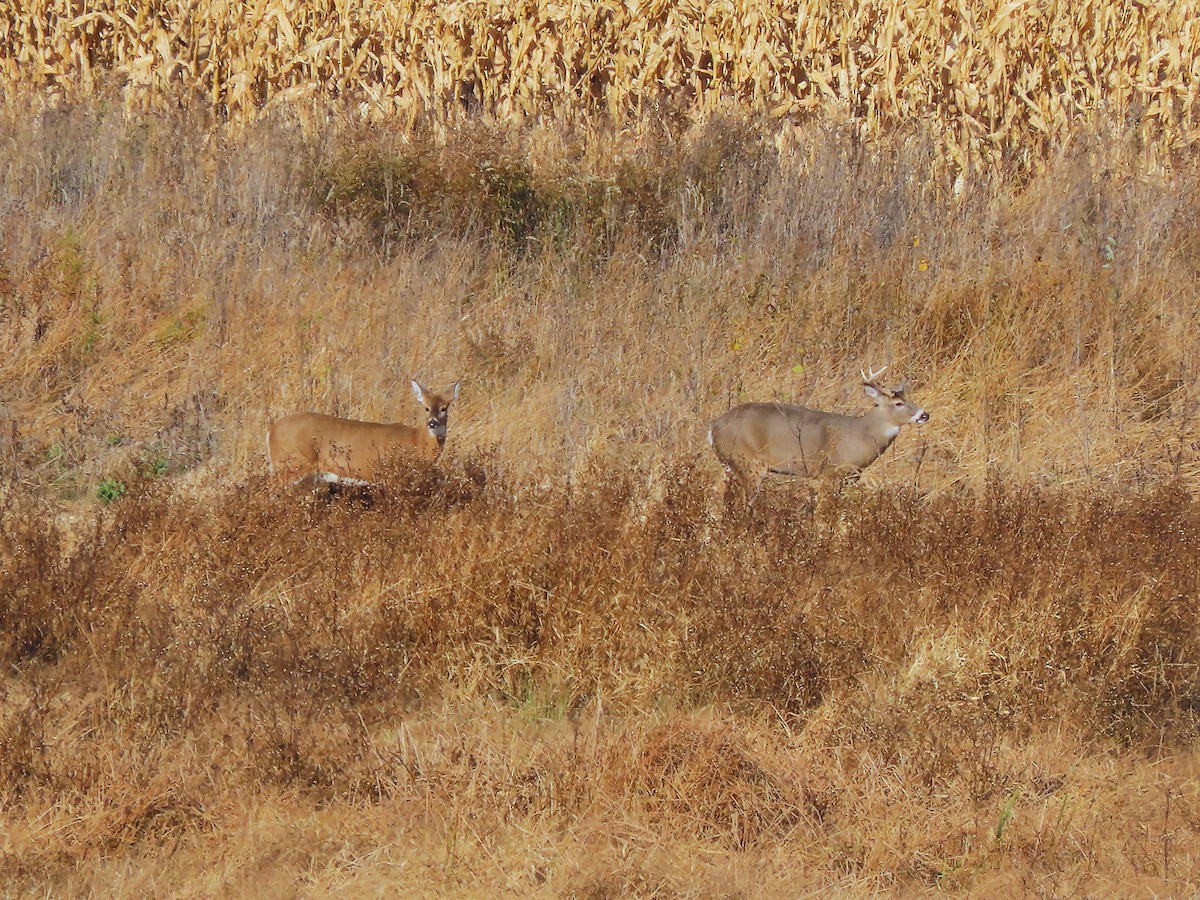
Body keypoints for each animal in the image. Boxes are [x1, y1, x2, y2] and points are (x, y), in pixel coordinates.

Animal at [267, 380, 460, 490]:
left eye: (444, 408)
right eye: (426, 408)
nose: (432, 423)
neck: (416, 441)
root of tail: (271, 431)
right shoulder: (391, 477)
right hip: (291, 465)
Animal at [707, 367, 928, 506]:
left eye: (909, 399)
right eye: (898, 404)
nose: (924, 414)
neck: (861, 434)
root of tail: (713, 428)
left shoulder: (850, 477)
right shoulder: (829, 473)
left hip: (729, 463)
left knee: (715, 494)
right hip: (749, 463)